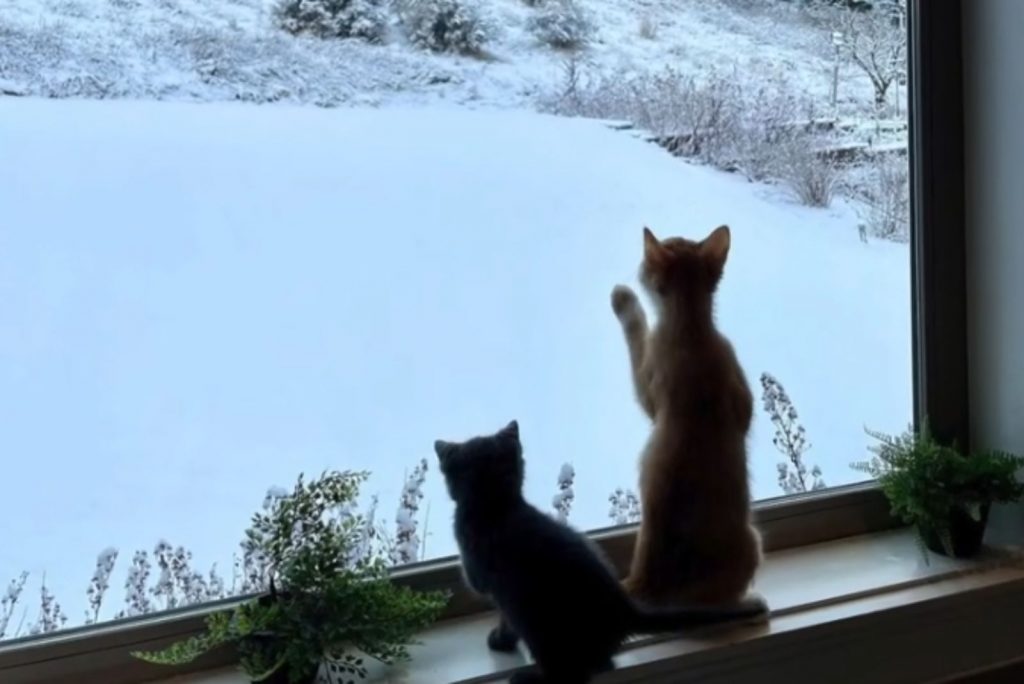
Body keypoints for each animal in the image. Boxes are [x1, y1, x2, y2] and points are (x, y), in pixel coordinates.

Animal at [606, 227, 761, 606]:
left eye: (645, 262)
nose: (638, 267)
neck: (691, 328)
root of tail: (642, 580)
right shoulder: (741, 396)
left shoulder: (648, 388)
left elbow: (637, 330)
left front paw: (623, 298)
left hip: (754, 541)